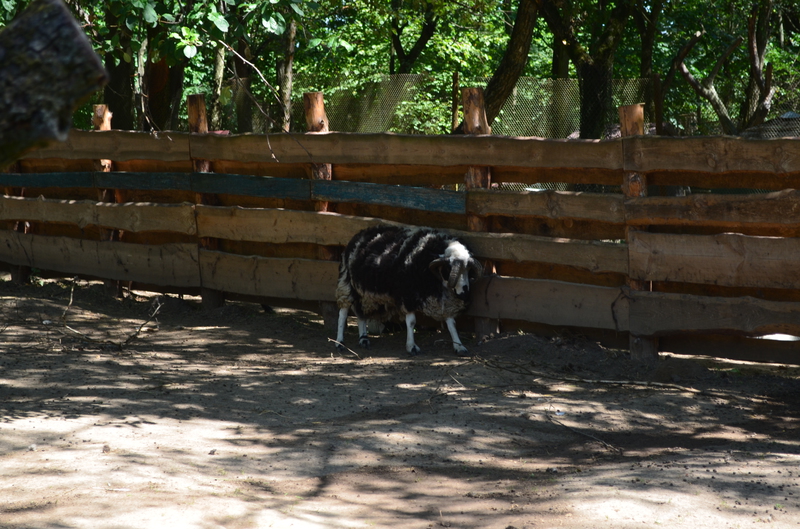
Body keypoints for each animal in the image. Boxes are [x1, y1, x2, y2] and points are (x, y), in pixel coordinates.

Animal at [332, 224, 482, 354]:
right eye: (448, 268)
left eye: (468, 270)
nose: (464, 293)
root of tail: (359, 234)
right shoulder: (408, 295)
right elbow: (411, 322)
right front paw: (411, 347)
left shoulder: (445, 301)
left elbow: (452, 324)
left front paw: (459, 346)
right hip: (346, 283)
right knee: (343, 313)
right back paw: (340, 343)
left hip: (364, 293)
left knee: (361, 314)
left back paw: (363, 339)